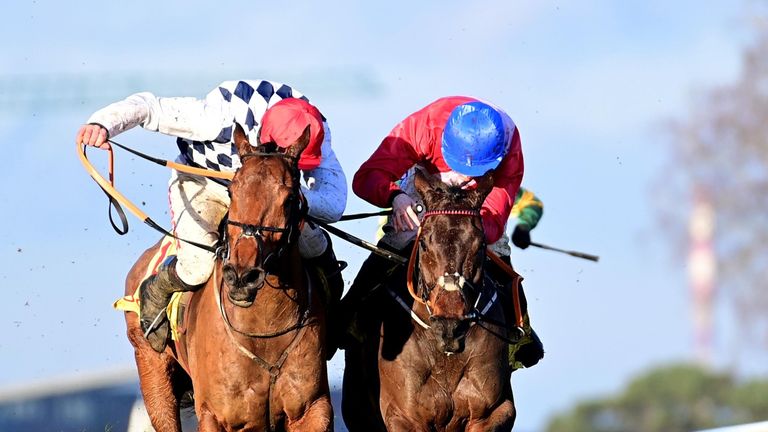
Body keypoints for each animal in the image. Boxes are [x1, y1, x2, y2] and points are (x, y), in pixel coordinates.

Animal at [122, 125, 330, 432]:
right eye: (233, 191)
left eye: (290, 198)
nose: (242, 276)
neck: (263, 333)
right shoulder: (215, 415)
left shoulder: (313, 408)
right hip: (153, 372)